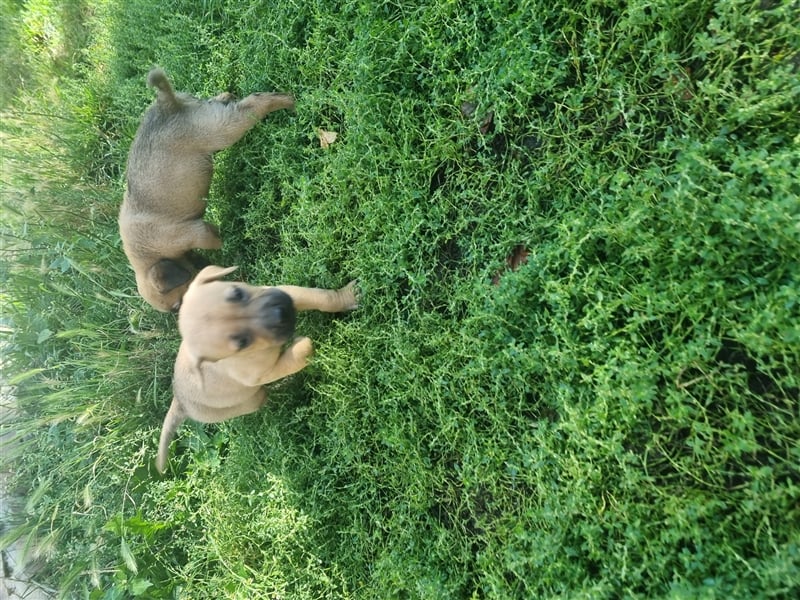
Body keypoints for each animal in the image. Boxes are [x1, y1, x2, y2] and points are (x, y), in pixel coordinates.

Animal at [119, 69, 294, 312]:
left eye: (177, 307)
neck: (147, 253)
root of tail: (166, 104)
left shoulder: (197, 233)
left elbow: (216, 242)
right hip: (208, 115)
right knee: (224, 103)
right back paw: (227, 96)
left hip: (222, 130)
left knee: (254, 103)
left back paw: (288, 101)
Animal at [156, 264, 356, 472]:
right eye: (242, 342)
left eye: (238, 293)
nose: (281, 314)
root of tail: (179, 400)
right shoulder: (263, 373)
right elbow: (296, 355)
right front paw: (301, 345)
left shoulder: (286, 291)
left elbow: (321, 297)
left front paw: (348, 297)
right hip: (249, 401)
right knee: (264, 393)